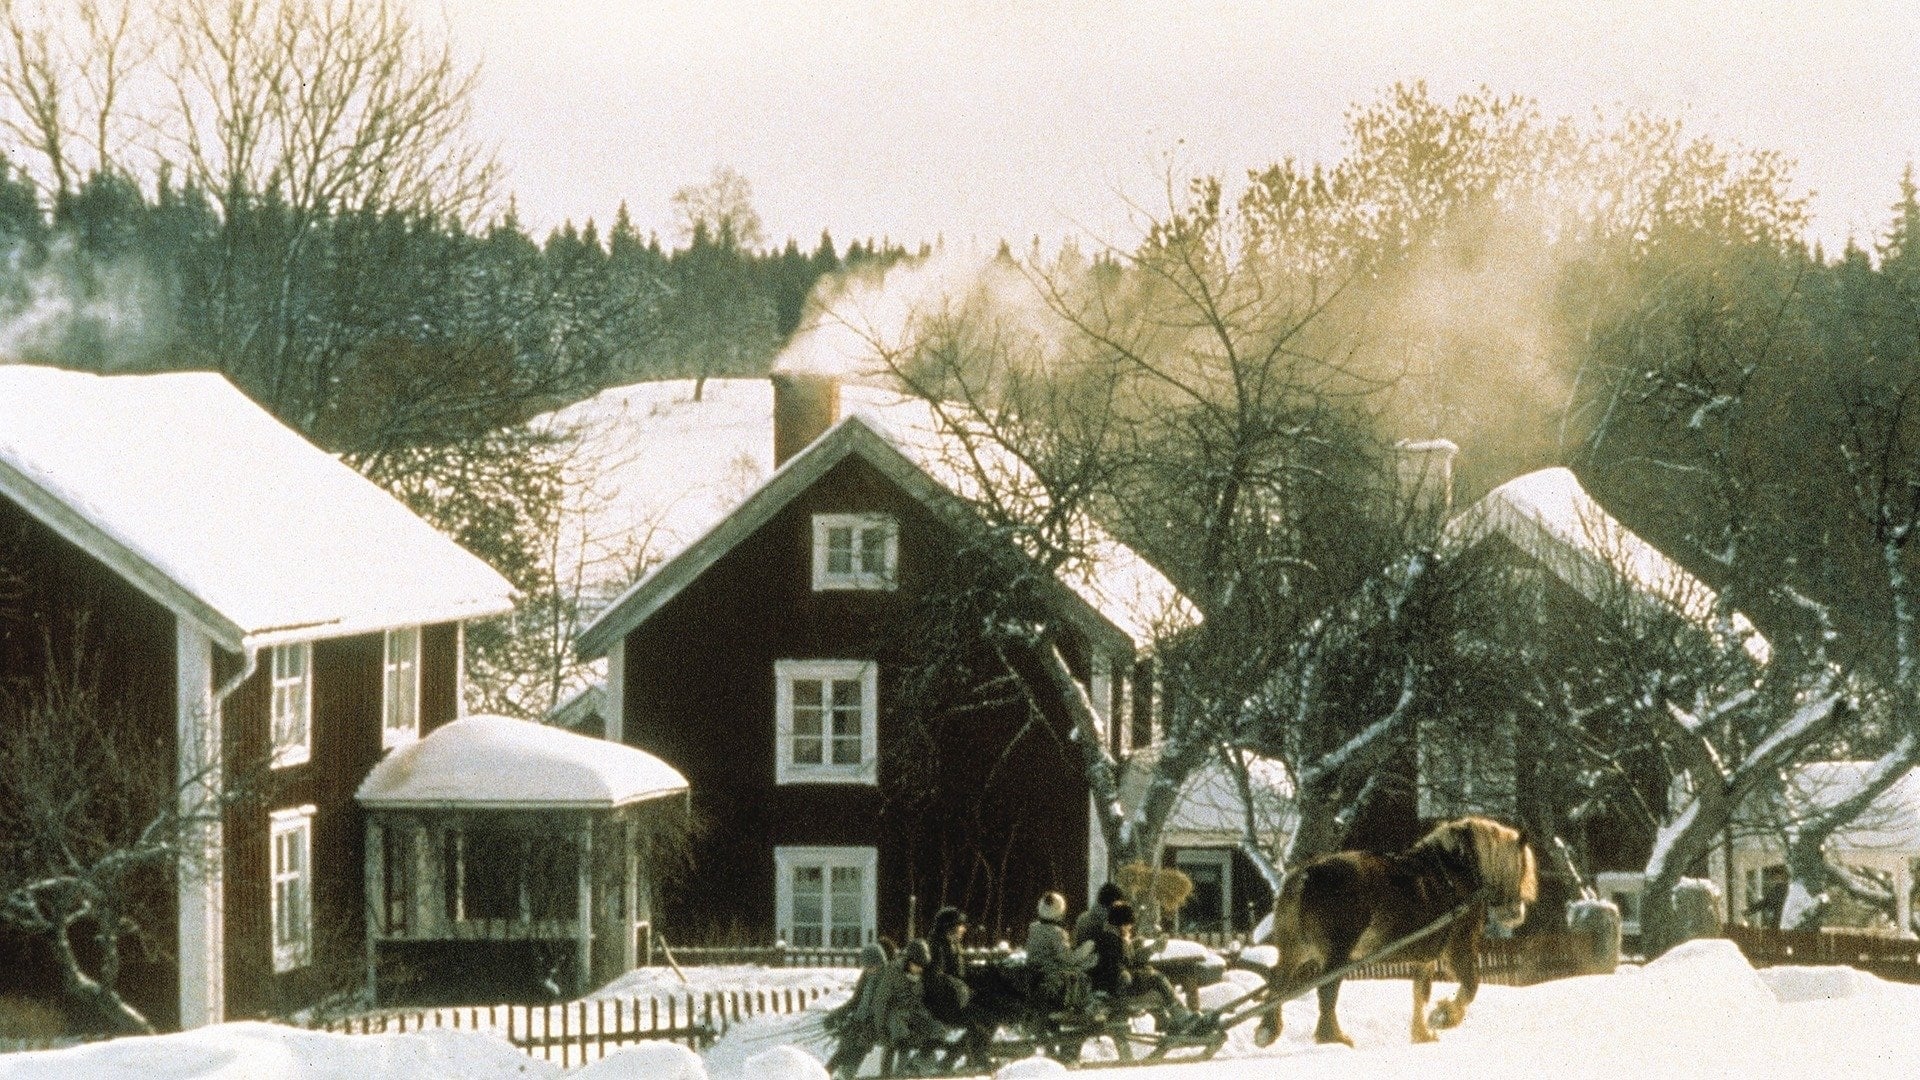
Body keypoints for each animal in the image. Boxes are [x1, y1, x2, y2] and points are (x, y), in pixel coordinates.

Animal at [1251, 814, 1536, 1045]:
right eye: (1521, 867)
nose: (1517, 914)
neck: (1458, 871)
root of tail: (1308, 873)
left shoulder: (1425, 957)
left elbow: (1420, 993)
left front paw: (1422, 1034)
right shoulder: (1459, 945)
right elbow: (1470, 985)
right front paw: (1444, 1016)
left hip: (1296, 949)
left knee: (1278, 981)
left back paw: (1269, 1029)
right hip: (1336, 954)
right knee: (1326, 989)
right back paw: (1332, 1037)